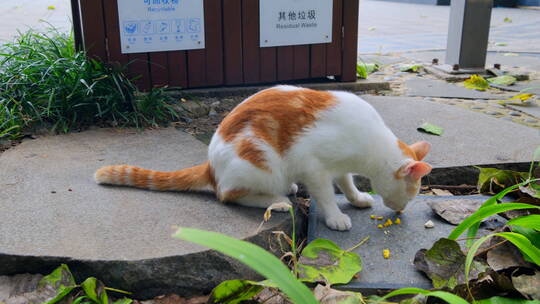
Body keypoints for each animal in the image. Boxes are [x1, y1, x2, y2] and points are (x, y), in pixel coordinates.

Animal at [95, 85, 432, 230]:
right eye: (411, 194)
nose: (401, 211)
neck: (371, 143)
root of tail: (211, 165)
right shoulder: (314, 166)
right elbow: (325, 194)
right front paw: (335, 216)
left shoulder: (337, 166)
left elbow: (346, 182)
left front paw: (358, 197)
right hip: (261, 164)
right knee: (227, 195)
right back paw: (278, 200)